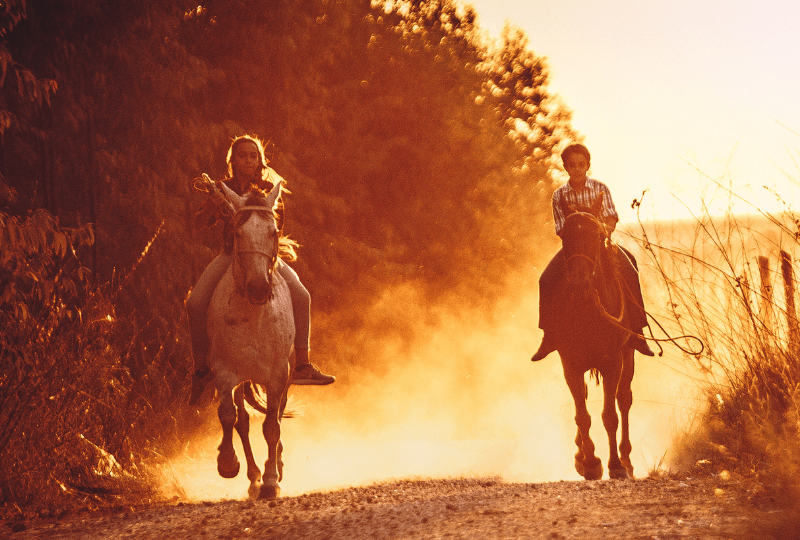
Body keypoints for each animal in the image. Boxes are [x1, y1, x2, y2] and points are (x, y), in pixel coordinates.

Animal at [206, 180, 294, 498]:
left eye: (273, 232)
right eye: (238, 232)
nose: (258, 288)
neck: (253, 317)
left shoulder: (278, 375)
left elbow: (271, 426)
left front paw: (271, 479)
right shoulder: (225, 372)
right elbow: (229, 416)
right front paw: (228, 463)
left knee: (275, 417)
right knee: (242, 421)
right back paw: (252, 475)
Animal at [552, 195, 632, 480]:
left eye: (596, 234)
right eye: (564, 235)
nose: (578, 281)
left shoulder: (612, 362)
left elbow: (610, 415)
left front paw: (615, 465)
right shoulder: (570, 364)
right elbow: (582, 415)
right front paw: (589, 462)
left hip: (629, 354)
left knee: (624, 400)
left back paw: (627, 459)